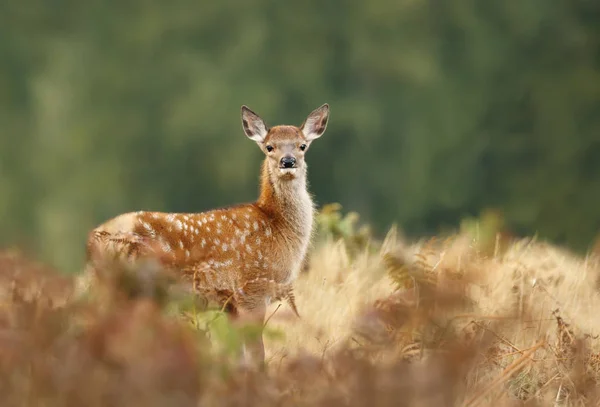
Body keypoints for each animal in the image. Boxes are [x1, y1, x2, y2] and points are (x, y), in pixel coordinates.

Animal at [82, 103, 330, 364]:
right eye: (269, 146)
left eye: (302, 145)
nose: (288, 161)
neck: (277, 227)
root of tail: (93, 239)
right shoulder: (251, 290)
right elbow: (256, 355)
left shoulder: (230, 305)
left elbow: (239, 357)